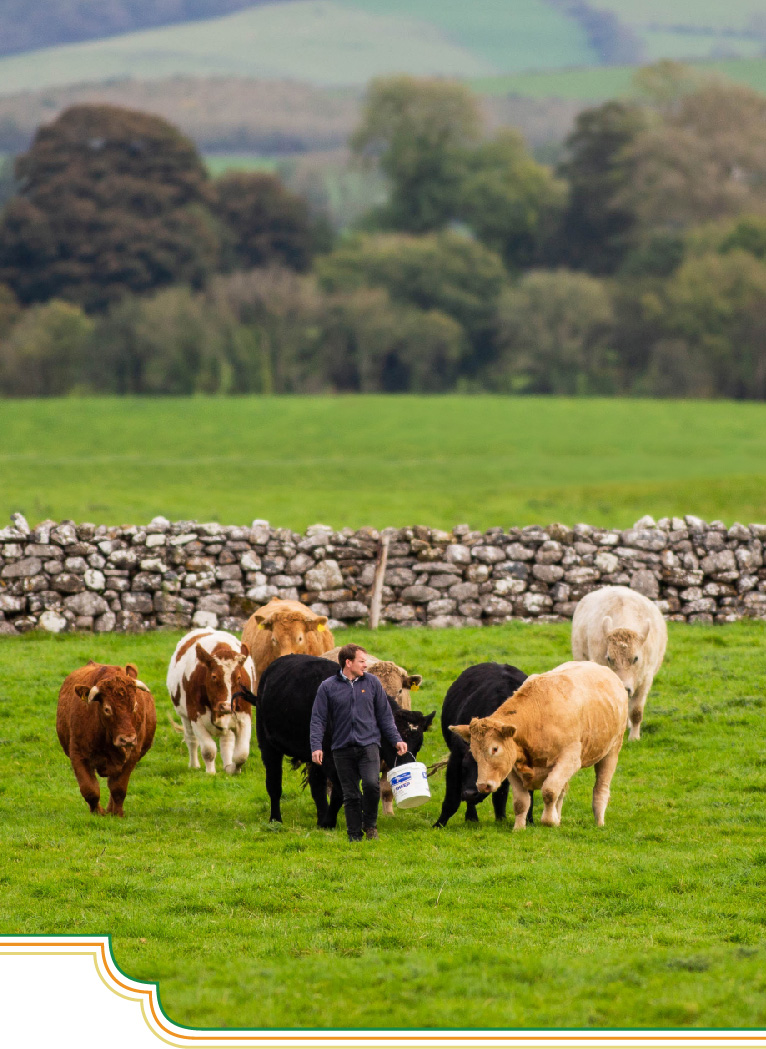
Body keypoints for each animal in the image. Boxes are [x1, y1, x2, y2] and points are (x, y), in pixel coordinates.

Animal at [56, 658, 156, 814]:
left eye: (134, 706)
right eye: (107, 709)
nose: (127, 739)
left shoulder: (132, 756)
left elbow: (118, 789)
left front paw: (117, 813)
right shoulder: (77, 755)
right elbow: (90, 790)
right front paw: (98, 813)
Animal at [166, 625, 254, 776]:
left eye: (238, 677)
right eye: (214, 676)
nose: (226, 706)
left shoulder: (244, 716)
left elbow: (241, 754)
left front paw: (233, 769)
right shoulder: (195, 716)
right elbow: (209, 750)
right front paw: (211, 773)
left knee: (226, 742)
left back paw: (227, 764)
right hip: (184, 715)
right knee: (191, 739)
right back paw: (194, 765)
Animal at [430, 662, 530, 826]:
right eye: (464, 767)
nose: (470, 793)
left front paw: (529, 821)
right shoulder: (456, 759)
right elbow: (451, 800)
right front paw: (438, 824)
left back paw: (500, 818)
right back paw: (472, 818)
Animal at [447, 662, 625, 826]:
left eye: (495, 749)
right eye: (474, 753)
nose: (483, 785)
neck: (537, 720)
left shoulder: (569, 760)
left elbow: (549, 791)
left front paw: (549, 821)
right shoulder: (513, 767)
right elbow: (521, 802)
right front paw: (519, 828)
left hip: (611, 752)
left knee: (600, 788)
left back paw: (599, 822)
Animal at [570, 587, 667, 742]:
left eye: (636, 658)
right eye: (609, 658)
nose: (624, 687)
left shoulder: (646, 678)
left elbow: (636, 711)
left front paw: (634, 737)